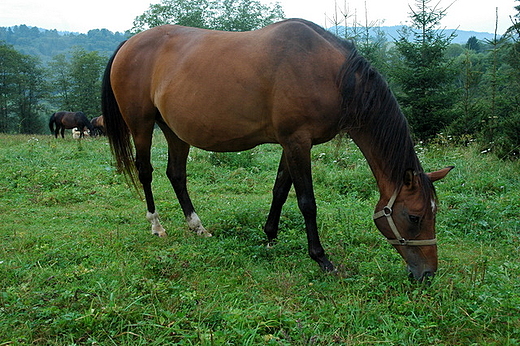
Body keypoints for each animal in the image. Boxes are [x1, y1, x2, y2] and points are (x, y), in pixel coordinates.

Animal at [100, 18, 450, 282]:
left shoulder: (291, 143)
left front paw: (269, 237)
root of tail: (129, 43)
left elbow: (280, 190)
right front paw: (322, 259)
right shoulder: (297, 142)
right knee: (146, 172)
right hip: (142, 125)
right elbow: (307, 202)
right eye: (415, 216)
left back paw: (197, 227)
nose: (428, 273)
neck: (332, 75)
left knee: (177, 175)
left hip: (174, 131)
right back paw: (156, 225)